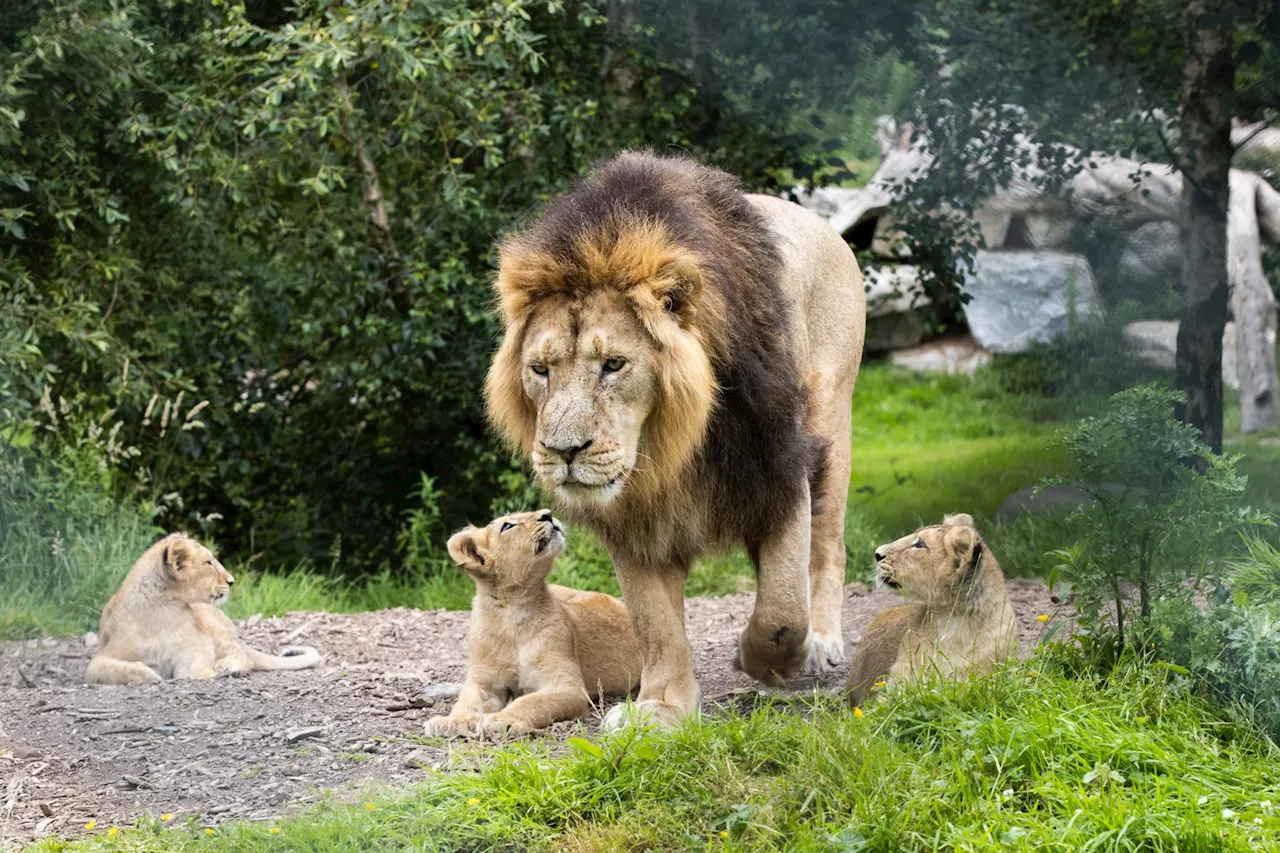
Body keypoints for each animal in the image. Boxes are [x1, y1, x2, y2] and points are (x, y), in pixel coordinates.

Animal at [85, 532, 322, 686]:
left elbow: (197, 667)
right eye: (209, 563)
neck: (163, 611)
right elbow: (107, 668)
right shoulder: (103, 655)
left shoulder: (196, 647)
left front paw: (209, 673)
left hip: (217, 627)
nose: (231, 581)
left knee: (242, 655)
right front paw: (149, 675)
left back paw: (227, 667)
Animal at [424, 507, 640, 732]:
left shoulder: (567, 686)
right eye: (507, 526)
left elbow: (532, 702)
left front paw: (501, 719)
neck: (512, 612)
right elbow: (467, 699)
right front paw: (452, 721)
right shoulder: (484, 681)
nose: (548, 514)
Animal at [483, 149, 865, 722]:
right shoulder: (631, 517)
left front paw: (764, 661)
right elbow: (653, 620)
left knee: (828, 547)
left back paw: (821, 643)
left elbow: (780, 608)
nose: (564, 452)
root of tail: (824, 225)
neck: (669, 445)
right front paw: (660, 708)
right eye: (540, 370)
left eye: (613, 365)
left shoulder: (778, 467)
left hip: (831, 424)